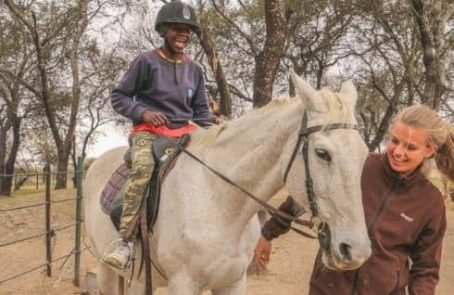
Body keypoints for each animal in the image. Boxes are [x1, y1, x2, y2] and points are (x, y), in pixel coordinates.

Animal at [83, 72, 370, 295]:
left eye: (364, 154)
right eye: (322, 153)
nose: (355, 251)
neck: (220, 202)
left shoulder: (232, 283)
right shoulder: (183, 284)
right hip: (106, 269)